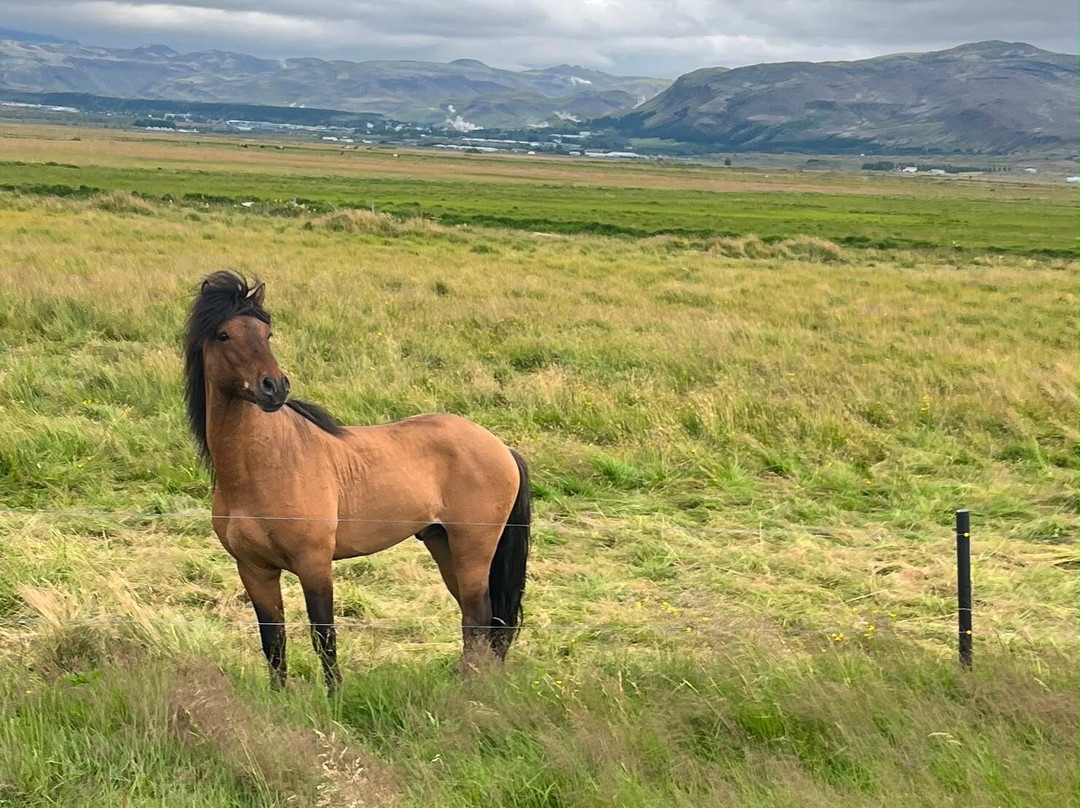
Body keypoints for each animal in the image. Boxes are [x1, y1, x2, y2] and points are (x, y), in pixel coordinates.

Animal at [183, 271, 531, 692]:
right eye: (223, 335)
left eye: (267, 333)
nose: (274, 387)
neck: (266, 466)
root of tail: (501, 448)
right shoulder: (253, 569)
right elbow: (273, 638)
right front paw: (279, 697)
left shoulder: (314, 564)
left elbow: (323, 634)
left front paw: (335, 695)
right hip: (442, 543)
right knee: (474, 616)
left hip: (473, 549)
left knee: (479, 616)